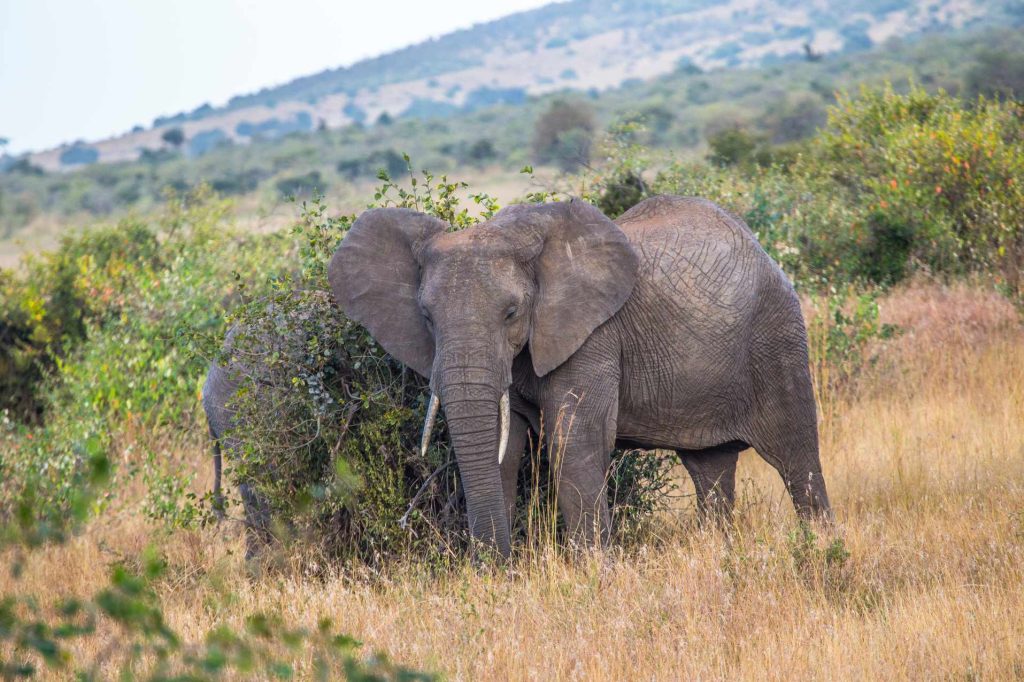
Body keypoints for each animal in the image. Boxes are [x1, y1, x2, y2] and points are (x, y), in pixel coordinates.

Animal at [328, 195, 831, 558]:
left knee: (797, 458)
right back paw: (719, 553)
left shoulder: (593, 335)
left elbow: (576, 442)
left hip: (777, 336)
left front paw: (595, 574)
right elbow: (505, 447)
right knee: (710, 468)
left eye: (512, 313)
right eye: (428, 318)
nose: (497, 566)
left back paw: (821, 551)